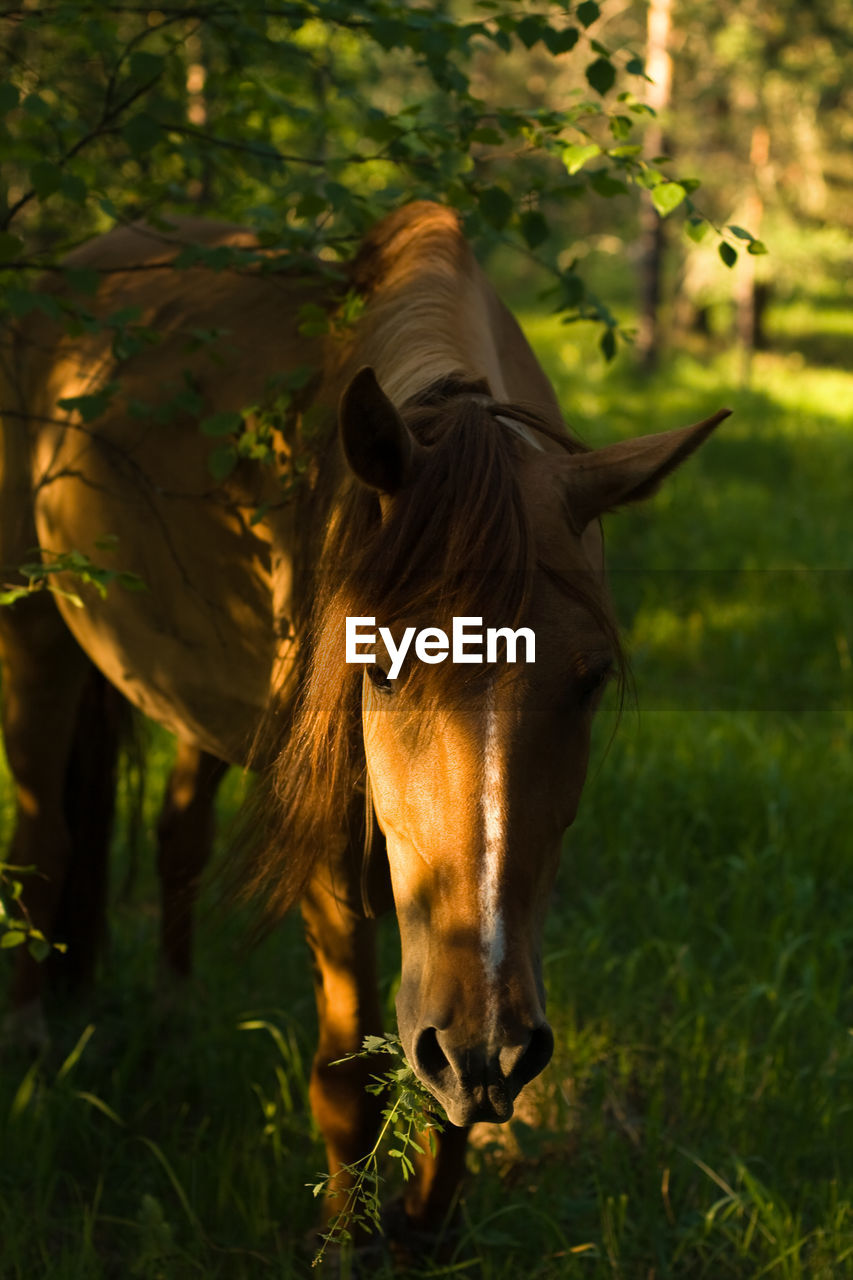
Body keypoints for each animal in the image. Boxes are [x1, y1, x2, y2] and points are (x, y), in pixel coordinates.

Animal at [0, 202, 727, 1228]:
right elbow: (347, 1078)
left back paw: (174, 1014)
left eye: (585, 682)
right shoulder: (331, 843)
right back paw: (29, 1044)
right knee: (45, 835)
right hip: (35, 631)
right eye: (378, 665)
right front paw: (350, 1237)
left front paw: (426, 1229)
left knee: (178, 835)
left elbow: (452, 1086)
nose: (495, 1049)